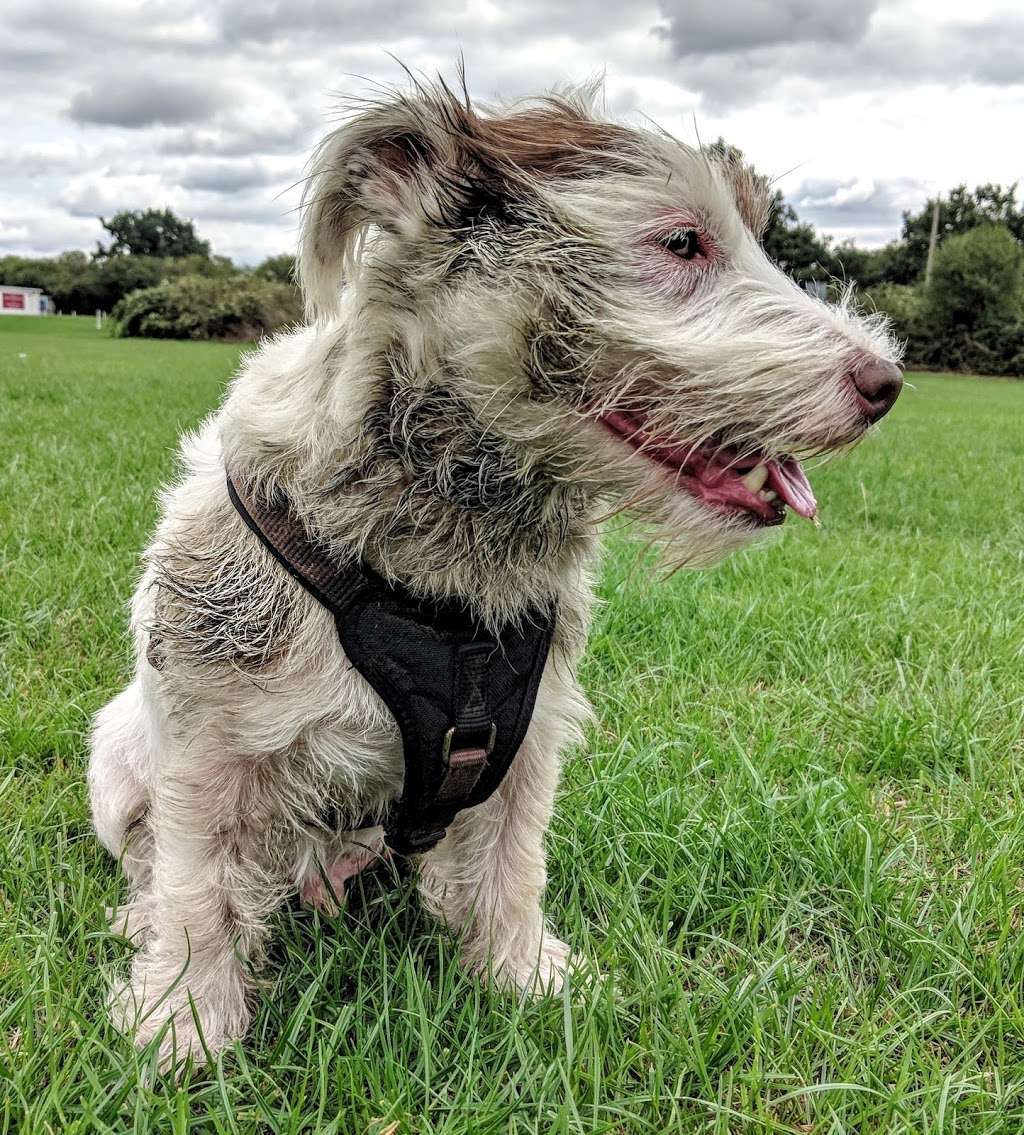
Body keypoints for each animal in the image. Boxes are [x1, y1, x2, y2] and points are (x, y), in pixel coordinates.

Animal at [90, 77, 908, 1062]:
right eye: (682, 241)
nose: (887, 382)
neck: (450, 565)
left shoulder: (528, 739)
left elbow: (511, 869)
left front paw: (524, 977)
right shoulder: (210, 743)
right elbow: (198, 890)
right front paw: (184, 1022)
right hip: (115, 759)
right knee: (151, 857)